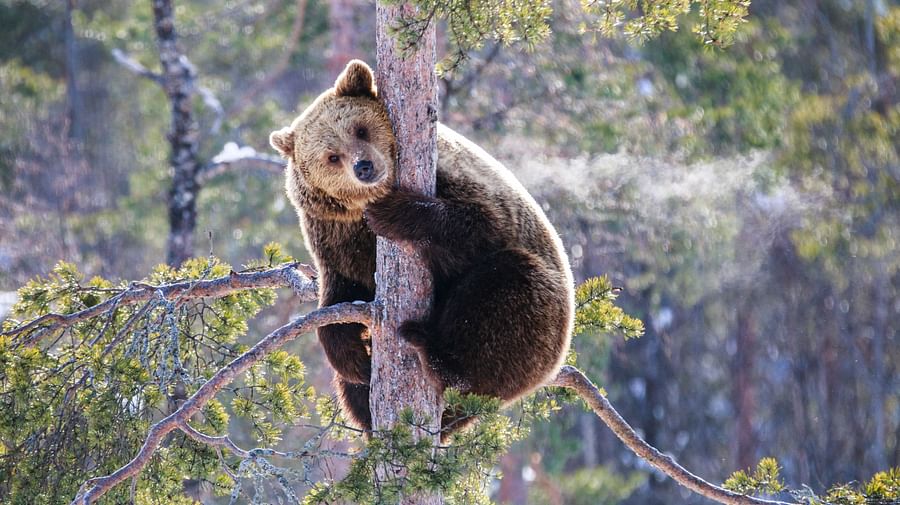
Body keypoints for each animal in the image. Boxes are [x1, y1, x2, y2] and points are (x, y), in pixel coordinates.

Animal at [270, 58, 572, 438]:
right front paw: (355, 359)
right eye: (331, 156)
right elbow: (340, 299)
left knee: (509, 289)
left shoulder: (456, 181)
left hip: (546, 317)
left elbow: (481, 223)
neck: (358, 208)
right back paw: (369, 403)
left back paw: (437, 355)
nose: (364, 166)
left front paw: (394, 212)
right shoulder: (334, 235)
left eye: (360, 129)